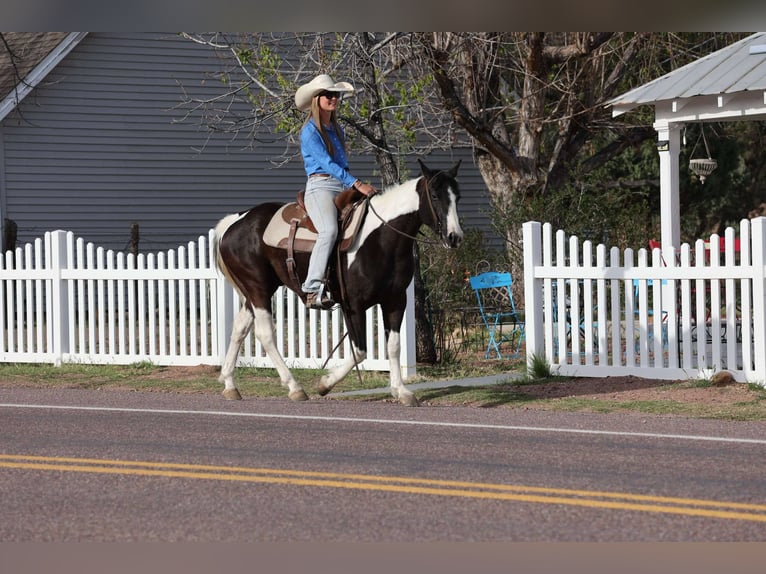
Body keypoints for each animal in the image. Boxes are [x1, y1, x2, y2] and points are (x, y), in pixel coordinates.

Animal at [212, 159, 463, 406]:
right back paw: (294, 387)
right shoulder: (353, 305)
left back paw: (230, 384)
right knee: (265, 334)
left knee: (239, 329)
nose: (454, 237)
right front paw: (325, 384)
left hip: (254, 292)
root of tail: (236, 222)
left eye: (457, 197)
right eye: (434, 195)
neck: (380, 239)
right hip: (259, 288)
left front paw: (401, 391)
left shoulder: (395, 301)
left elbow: (393, 346)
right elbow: (360, 351)